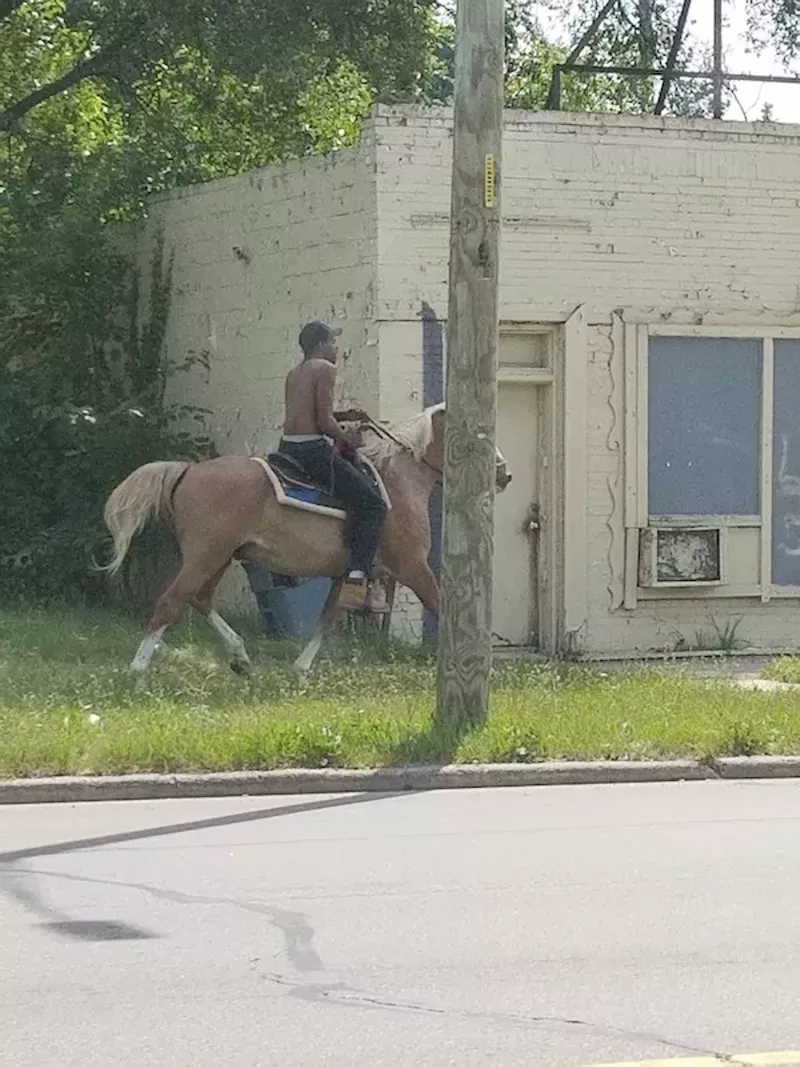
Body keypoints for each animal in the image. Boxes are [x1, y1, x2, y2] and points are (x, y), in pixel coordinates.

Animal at [103, 403, 509, 678]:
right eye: (478, 438)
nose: (504, 474)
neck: (398, 481)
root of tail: (188, 470)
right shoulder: (412, 566)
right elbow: (439, 604)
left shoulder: (348, 573)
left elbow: (327, 619)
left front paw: (300, 670)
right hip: (206, 555)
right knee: (170, 602)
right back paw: (138, 671)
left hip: (219, 556)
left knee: (198, 599)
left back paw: (240, 658)